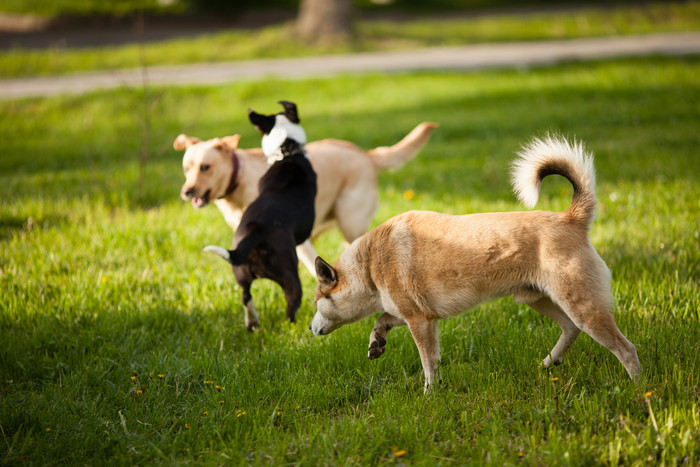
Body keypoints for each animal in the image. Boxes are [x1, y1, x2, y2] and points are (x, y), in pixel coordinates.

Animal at [174, 122, 438, 274]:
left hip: (349, 222)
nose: (186, 191)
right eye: (187, 168)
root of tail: (367, 155)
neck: (238, 181)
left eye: (205, 167)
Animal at [205, 101, 318, 330]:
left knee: (245, 296)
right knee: (291, 304)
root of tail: (255, 232)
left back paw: (252, 323)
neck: (287, 151)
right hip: (290, 277)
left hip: (240, 273)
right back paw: (292, 327)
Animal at [312, 137, 640, 394]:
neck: (369, 264)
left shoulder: (421, 322)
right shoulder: (415, 314)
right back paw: (549, 362)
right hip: (535, 298)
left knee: (625, 349)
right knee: (570, 329)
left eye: (317, 302)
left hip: (583, 306)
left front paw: (429, 394)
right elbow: (383, 318)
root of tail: (570, 218)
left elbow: (428, 362)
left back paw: (639, 389)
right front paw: (376, 341)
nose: (311, 328)